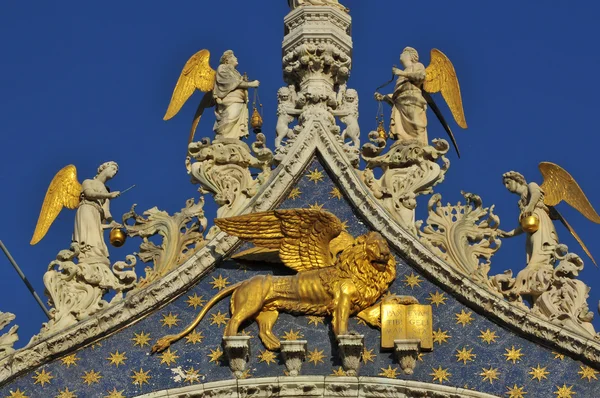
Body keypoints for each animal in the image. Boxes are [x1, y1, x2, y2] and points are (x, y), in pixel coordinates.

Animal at [150, 208, 396, 352]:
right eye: (373, 244)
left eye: (385, 244)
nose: (385, 253)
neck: (358, 270)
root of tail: (244, 281)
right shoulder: (342, 300)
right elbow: (341, 321)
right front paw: (346, 335)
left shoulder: (358, 302)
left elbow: (370, 310)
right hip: (251, 303)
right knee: (232, 322)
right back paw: (235, 342)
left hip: (268, 311)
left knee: (263, 329)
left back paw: (276, 344)